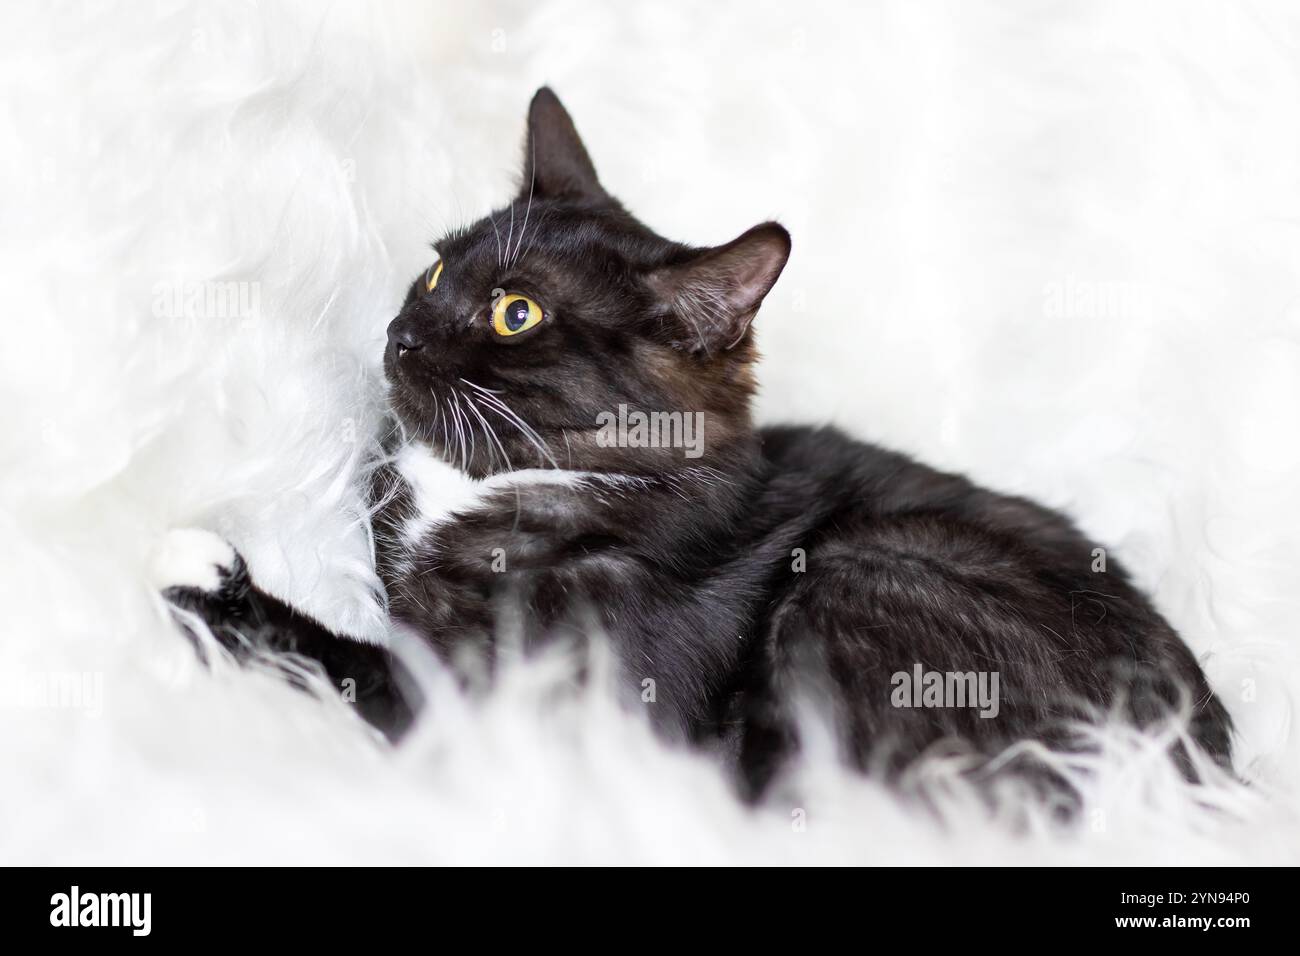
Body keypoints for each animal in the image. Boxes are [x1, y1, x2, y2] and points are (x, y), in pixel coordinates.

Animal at [162, 87, 1227, 801]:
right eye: (432, 272)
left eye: (516, 312)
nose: (400, 334)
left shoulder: (537, 706)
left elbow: (365, 668)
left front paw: (214, 578)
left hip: (870, 571)